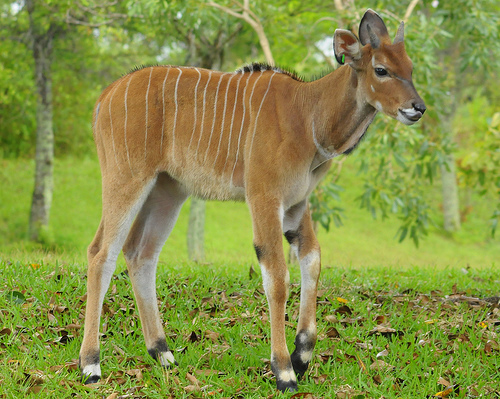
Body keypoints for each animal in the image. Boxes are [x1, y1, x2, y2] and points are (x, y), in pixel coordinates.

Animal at [79, 9, 426, 394]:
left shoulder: (297, 204)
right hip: (126, 180)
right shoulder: (264, 196)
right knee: (101, 254)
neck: (308, 114)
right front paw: (284, 370)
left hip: (168, 191)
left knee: (141, 253)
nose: (418, 108)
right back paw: (91, 364)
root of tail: (105, 96)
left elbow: (312, 260)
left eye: (410, 67)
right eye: (381, 69)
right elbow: (277, 276)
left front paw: (302, 355)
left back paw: (163, 353)